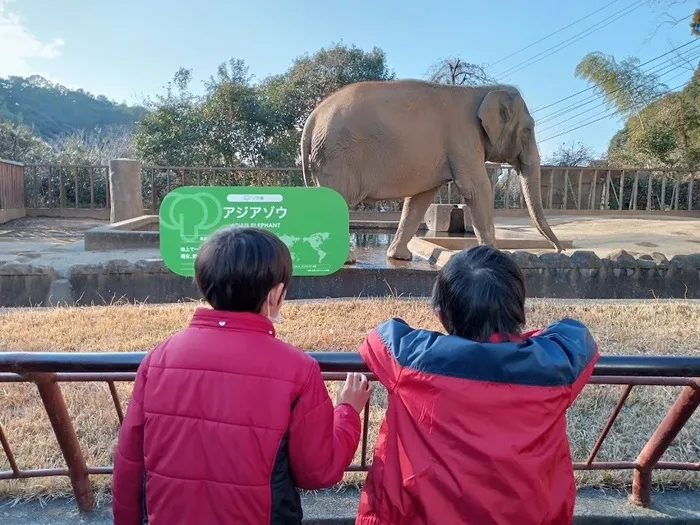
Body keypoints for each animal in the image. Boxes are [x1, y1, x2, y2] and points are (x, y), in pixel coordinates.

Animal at [300, 80, 564, 260]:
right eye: (528, 130)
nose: (559, 250)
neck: (481, 90)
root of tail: (312, 118)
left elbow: (420, 199)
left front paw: (400, 257)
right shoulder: (464, 139)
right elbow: (477, 189)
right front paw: (498, 257)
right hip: (339, 155)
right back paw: (347, 260)